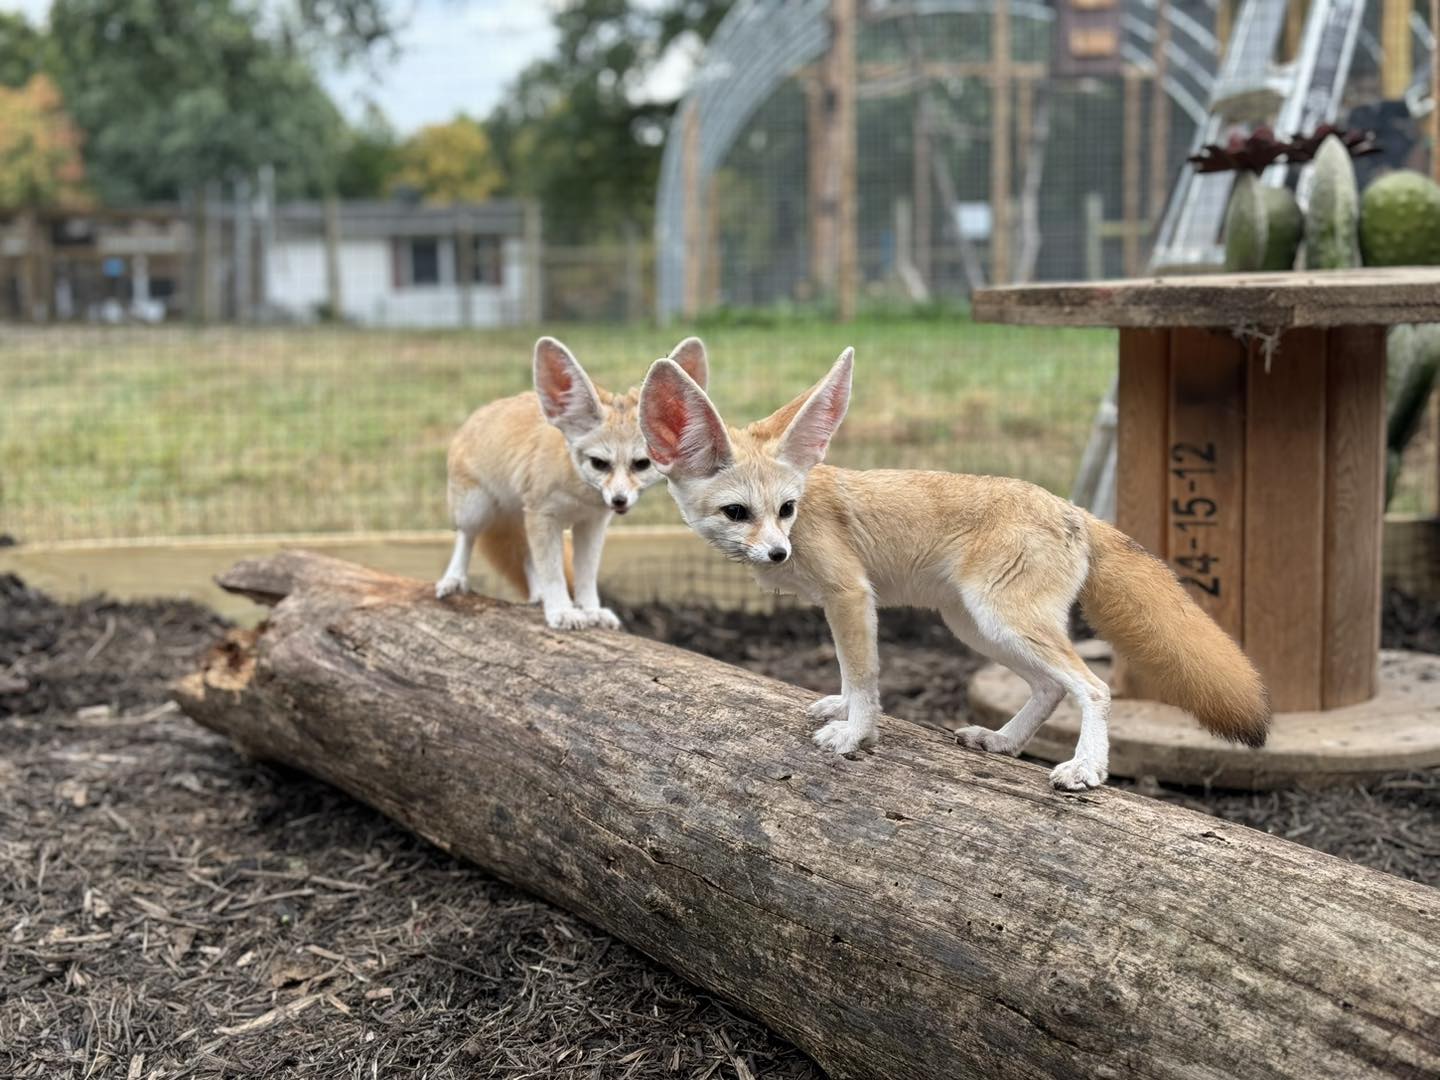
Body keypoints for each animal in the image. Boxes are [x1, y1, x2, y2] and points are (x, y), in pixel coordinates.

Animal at [437, 335, 709, 630]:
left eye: (641, 464)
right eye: (599, 463)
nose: (619, 500)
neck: (579, 495)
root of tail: (476, 414)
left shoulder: (590, 524)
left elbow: (585, 574)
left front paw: (590, 610)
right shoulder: (544, 518)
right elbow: (553, 572)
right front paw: (561, 610)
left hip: (519, 516)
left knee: (526, 555)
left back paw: (538, 595)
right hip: (477, 510)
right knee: (466, 538)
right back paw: (454, 579)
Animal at [638, 348, 1270, 790]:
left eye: (785, 510)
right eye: (737, 513)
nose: (778, 554)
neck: (805, 511)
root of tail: (1073, 509)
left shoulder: (850, 595)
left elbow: (864, 676)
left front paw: (856, 733)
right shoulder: (842, 606)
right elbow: (849, 673)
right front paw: (843, 707)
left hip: (1002, 622)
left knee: (1093, 687)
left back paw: (1086, 769)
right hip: (976, 626)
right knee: (1050, 688)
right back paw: (1005, 741)